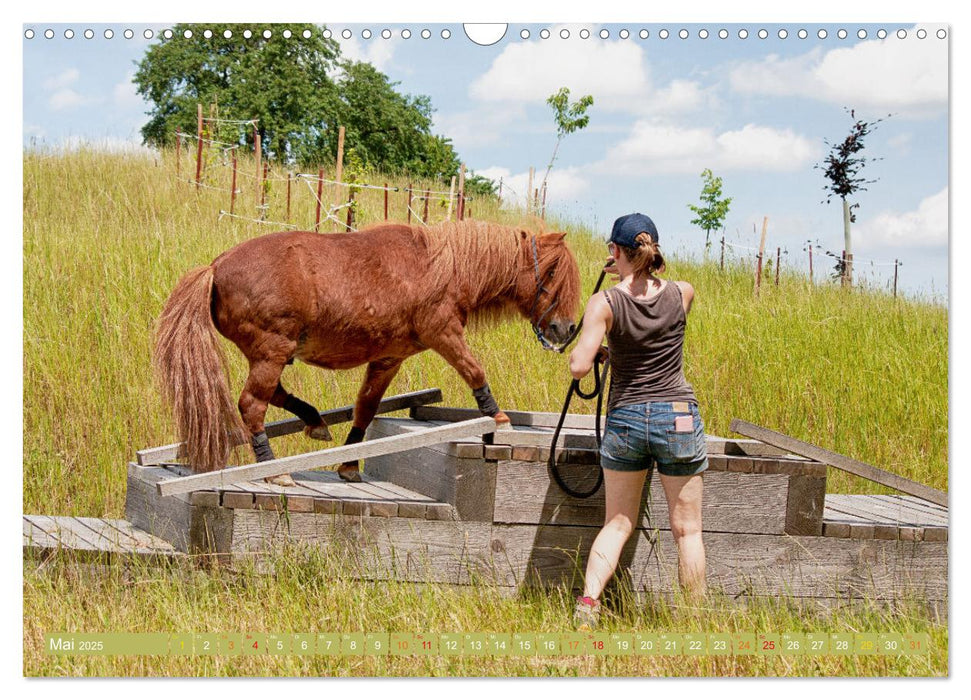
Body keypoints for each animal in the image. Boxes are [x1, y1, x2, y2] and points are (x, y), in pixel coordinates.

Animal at [152, 221, 576, 484]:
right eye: (552, 272)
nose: (567, 330)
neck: (441, 268)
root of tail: (216, 266)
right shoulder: (444, 333)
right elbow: (474, 370)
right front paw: (497, 417)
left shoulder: (389, 358)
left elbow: (366, 408)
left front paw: (349, 464)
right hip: (271, 351)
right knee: (252, 405)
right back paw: (274, 469)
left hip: (272, 353)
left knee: (273, 395)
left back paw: (314, 421)